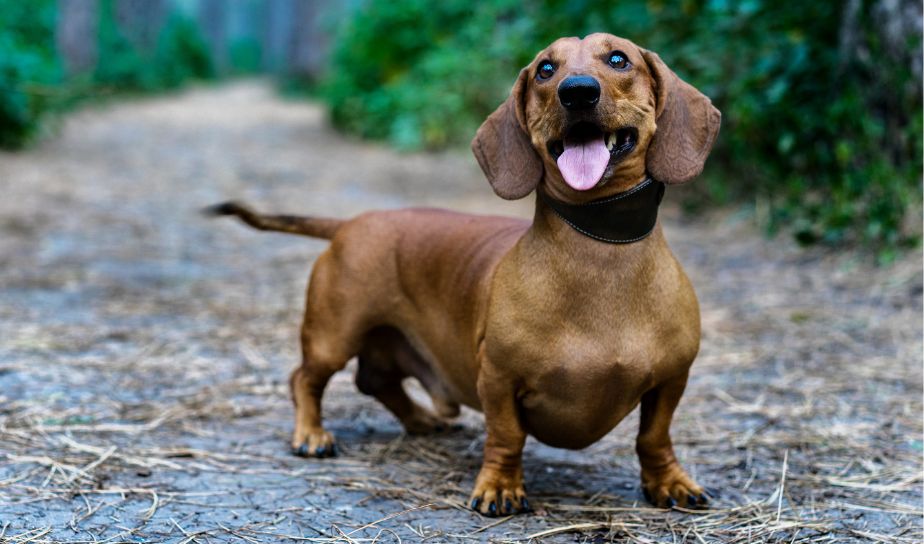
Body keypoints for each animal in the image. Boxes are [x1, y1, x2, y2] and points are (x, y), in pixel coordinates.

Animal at [211, 31, 720, 516]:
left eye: (618, 59)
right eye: (545, 69)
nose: (576, 91)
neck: (599, 247)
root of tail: (351, 222)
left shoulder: (672, 379)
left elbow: (653, 436)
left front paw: (669, 483)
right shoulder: (497, 378)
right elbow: (507, 436)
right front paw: (500, 488)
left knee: (375, 381)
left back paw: (421, 419)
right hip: (333, 335)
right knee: (305, 379)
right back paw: (311, 434)